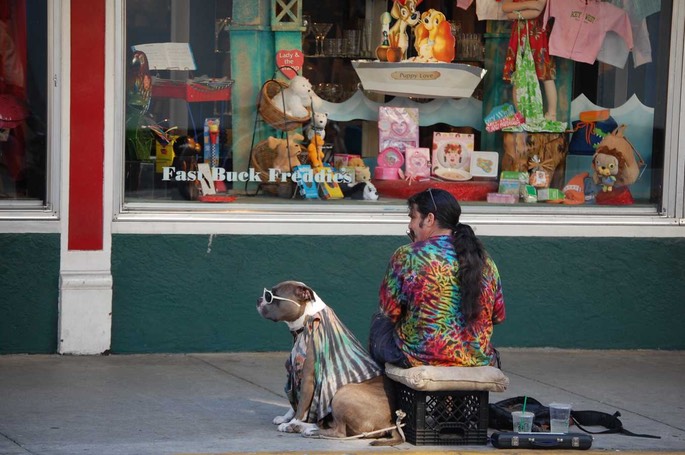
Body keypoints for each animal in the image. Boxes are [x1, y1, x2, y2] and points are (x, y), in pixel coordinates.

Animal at [255, 282, 400, 446]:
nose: (259, 300)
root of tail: (390, 422)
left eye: (271, 296)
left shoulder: (308, 379)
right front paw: (286, 418)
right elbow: (294, 404)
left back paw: (307, 429)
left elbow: (301, 406)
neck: (307, 322)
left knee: (340, 432)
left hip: (342, 394)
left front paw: (292, 423)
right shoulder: (295, 377)